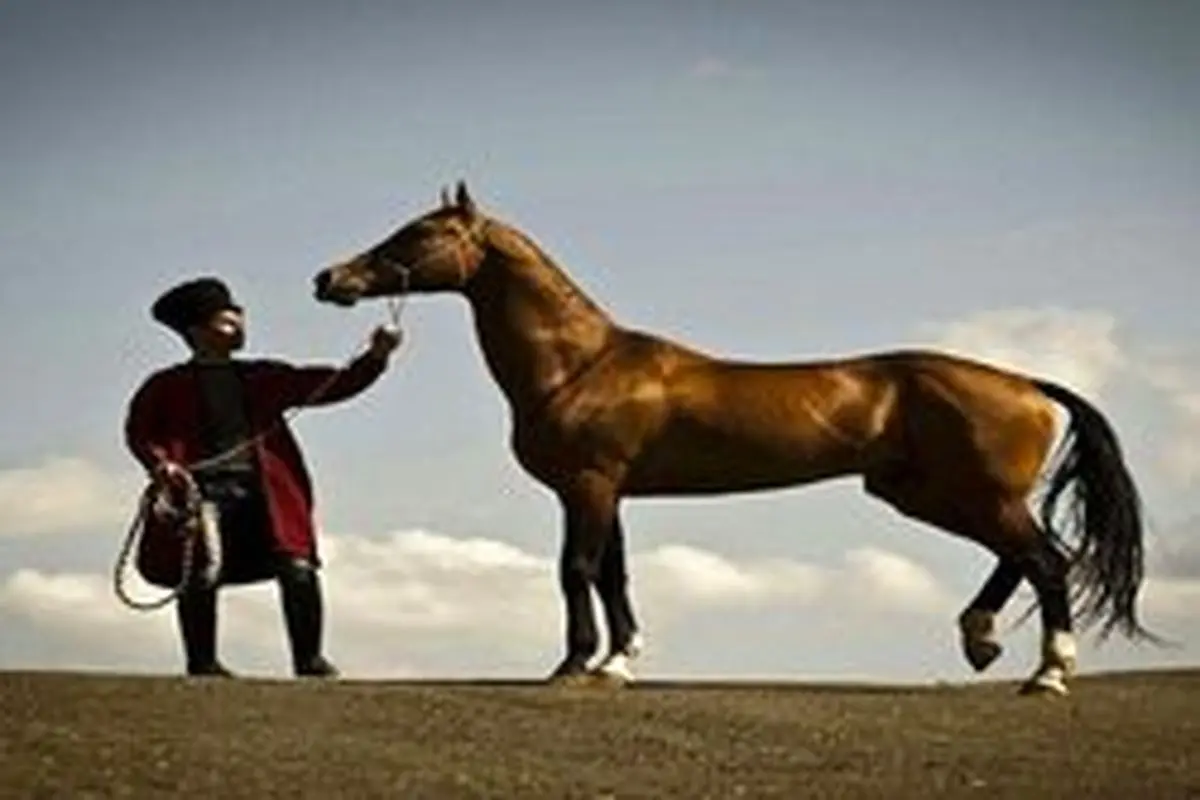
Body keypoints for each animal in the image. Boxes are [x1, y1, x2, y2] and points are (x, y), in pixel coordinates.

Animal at [314, 179, 1156, 695]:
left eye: (417, 233)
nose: (330, 280)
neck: (581, 363)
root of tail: (1026, 382)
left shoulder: (590, 485)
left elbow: (575, 569)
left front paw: (575, 664)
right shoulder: (607, 491)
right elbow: (615, 574)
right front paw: (619, 662)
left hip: (965, 493)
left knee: (1046, 560)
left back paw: (1046, 675)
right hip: (928, 494)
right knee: (1026, 556)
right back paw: (980, 640)